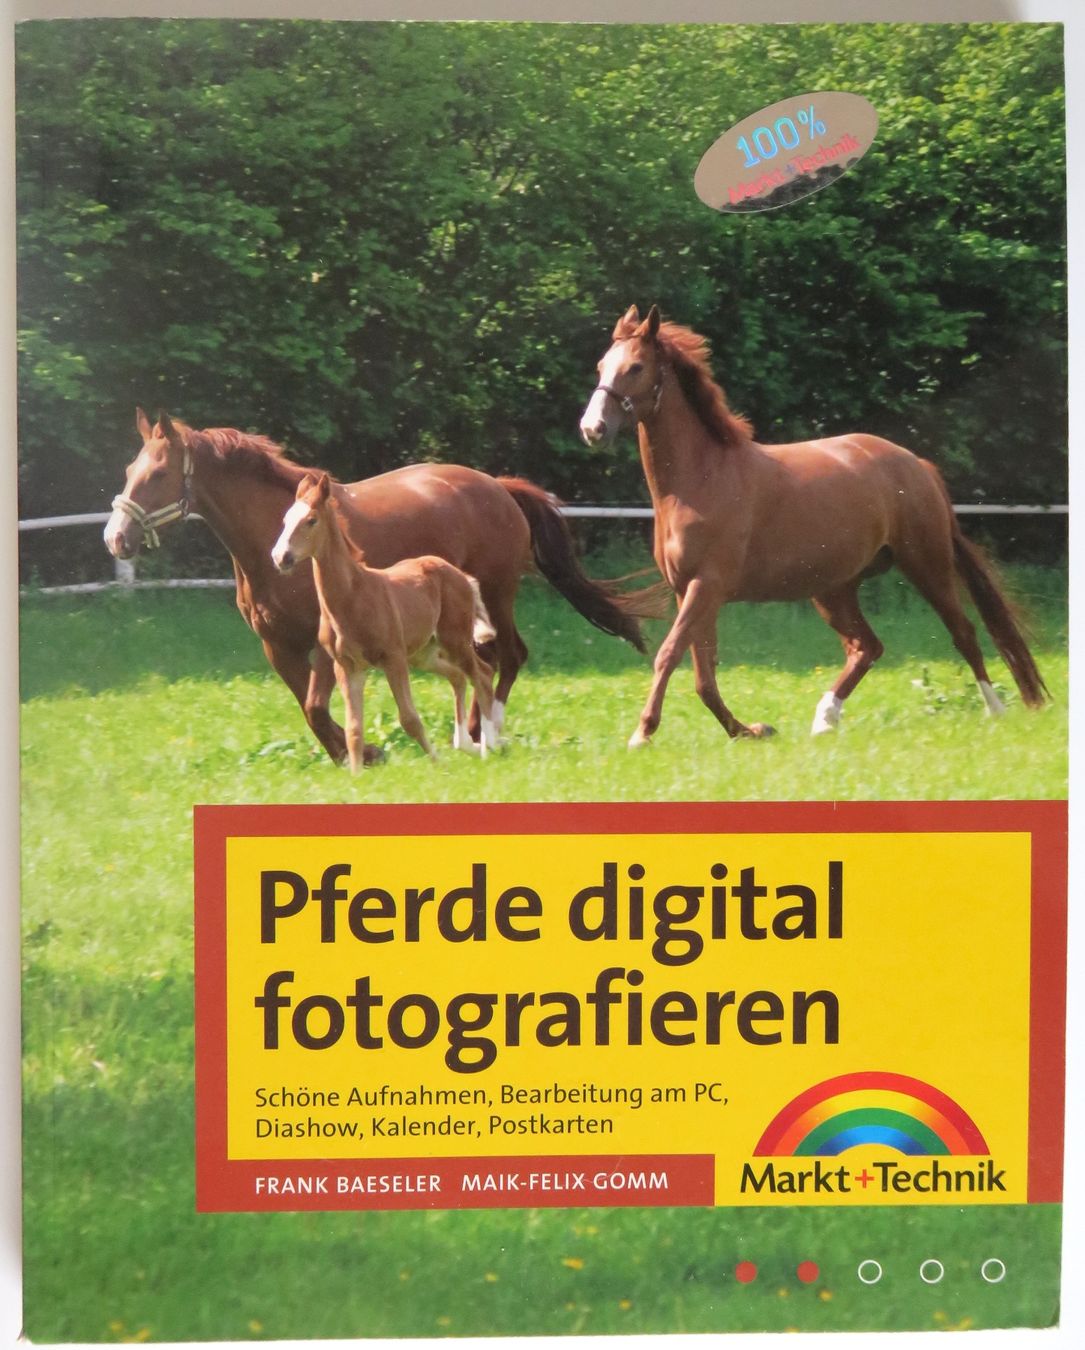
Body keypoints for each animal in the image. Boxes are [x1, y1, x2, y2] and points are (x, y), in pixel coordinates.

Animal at [271, 472, 498, 772]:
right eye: (285, 519)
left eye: (311, 520)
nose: (280, 557)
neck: (352, 598)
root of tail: (459, 574)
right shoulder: (348, 667)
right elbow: (354, 730)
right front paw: (356, 776)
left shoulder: (393, 659)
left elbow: (409, 718)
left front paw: (438, 764)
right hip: (423, 654)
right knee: (458, 676)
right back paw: (467, 745)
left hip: (454, 641)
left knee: (482, 674)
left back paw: (490, 746)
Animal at [579, 305, 1047, 747]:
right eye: (601, 366)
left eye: (636, 368)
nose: (592, 429)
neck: (702, 480)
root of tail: (917, 464)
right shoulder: (689, 591)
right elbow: (704, 675)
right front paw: (750, 730)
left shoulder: (706, 586)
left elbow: (670, 655)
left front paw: (642, 734)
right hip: (833, 588)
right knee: (866, 647)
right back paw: (824, 719)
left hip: (925, 565)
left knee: (963, 632)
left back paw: (995, 709)